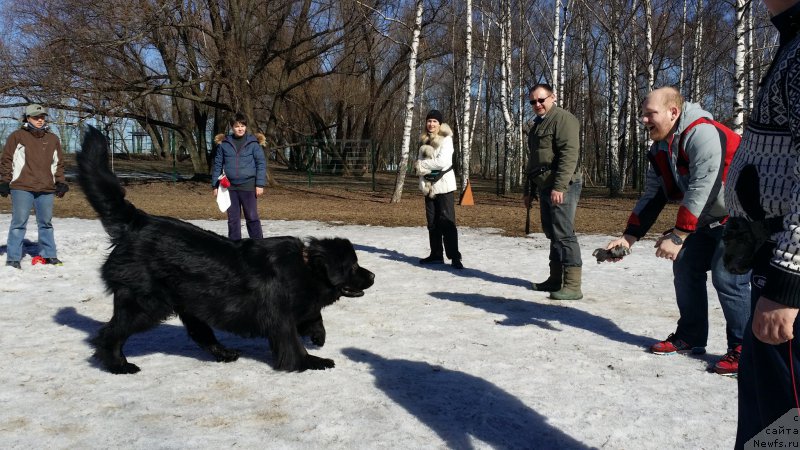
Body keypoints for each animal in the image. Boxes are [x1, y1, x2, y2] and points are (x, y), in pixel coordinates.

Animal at [76, 126, 376, 372]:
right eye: (353, 266)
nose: (373, 276)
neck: (305, 267)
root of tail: (136, 221)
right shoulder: (280, 317)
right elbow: (291, 344)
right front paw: (311, 362)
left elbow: (314, 316)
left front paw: (318, 335)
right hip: (146, 303)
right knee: (110, 333)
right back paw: (117, 364)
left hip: (186, 302)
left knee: (200, 333)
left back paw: (224, 353)